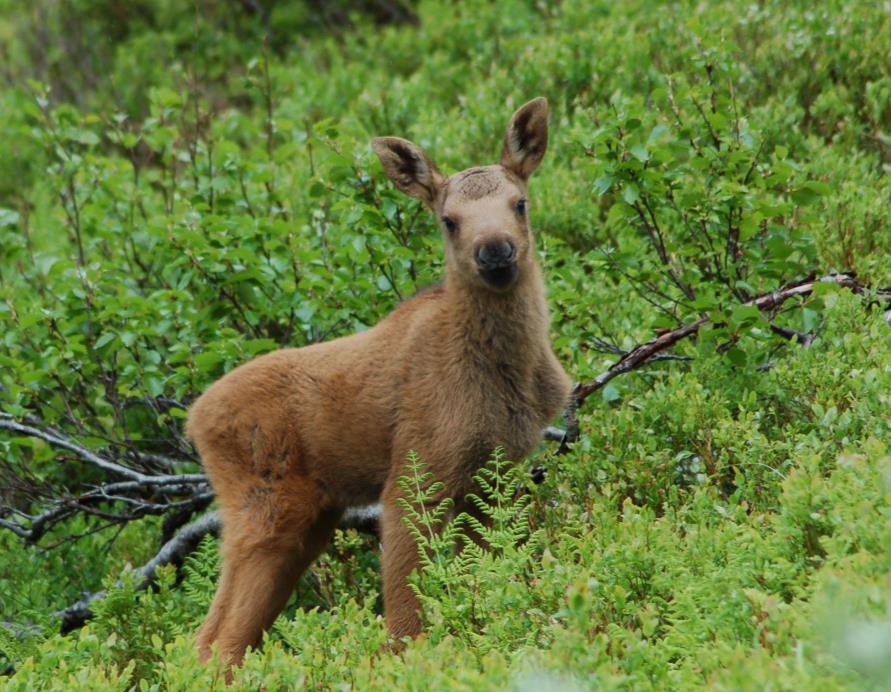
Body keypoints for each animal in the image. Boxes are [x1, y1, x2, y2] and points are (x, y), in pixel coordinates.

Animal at [188, 96, 572, 664]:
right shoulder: (415, 475)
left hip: (311, 520)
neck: (507, 376)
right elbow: (405, 618)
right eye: (448, 220)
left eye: (519, 203)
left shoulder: (492, 474)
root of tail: (193, 421)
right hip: (266, 511)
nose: (496, 252)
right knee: (215, 642)